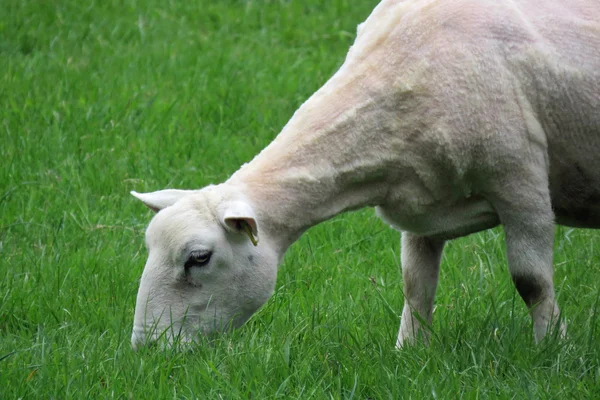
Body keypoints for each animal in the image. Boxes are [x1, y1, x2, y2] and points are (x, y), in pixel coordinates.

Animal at [130, 0, 600, 350]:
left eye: (199, 258)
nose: (145, 348)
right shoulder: (423, 208)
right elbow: (415, 285)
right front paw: (410, 351)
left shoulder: (520, 186)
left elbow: (531, 281)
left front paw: (550, 349)